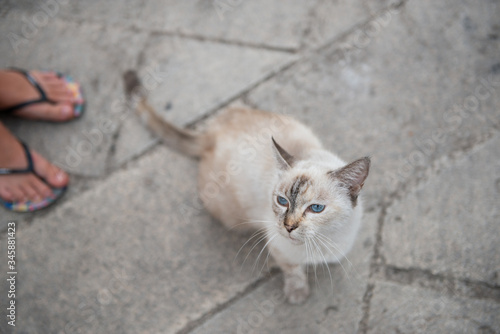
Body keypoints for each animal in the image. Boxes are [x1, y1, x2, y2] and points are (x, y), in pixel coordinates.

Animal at [123, 70, 370, 302]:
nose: (288, 226)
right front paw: (297, 294)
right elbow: (293, 271)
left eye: (316, 208)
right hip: (232, 216)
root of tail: (210, 136)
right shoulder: (279, 249)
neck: (322, 242)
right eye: (282, 201)